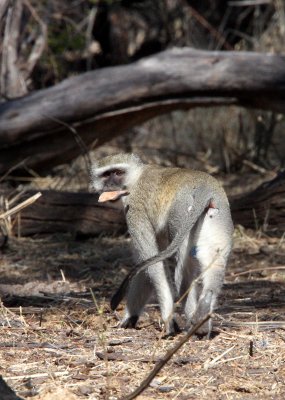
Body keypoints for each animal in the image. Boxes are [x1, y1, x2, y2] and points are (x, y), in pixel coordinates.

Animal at [91, 153, 233, 334]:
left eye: (117, 173)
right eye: (106, 175)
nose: (110, 185)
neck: (135, 178)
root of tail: (205, 187)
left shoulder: (134, 208)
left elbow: (153, 264)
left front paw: (168, 319)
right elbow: (145, 266)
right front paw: (130, 318)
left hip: (181, 214)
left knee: (182, 275)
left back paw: (192, 324)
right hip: (219, 217)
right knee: (215, 263)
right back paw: (203, 314)